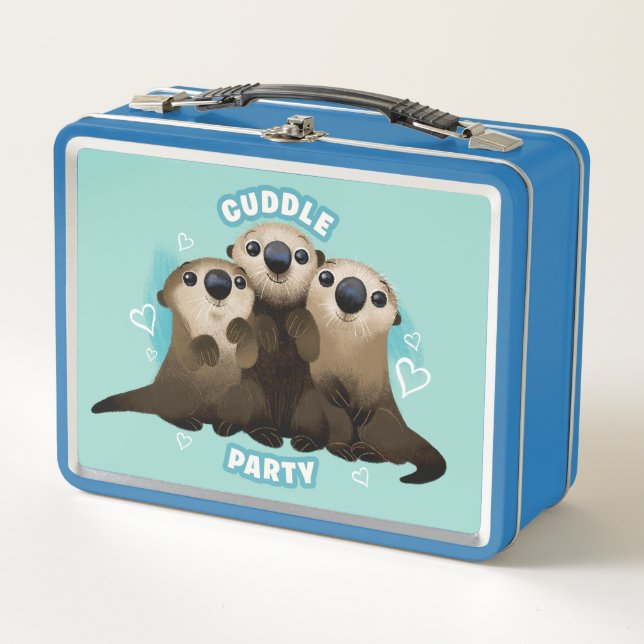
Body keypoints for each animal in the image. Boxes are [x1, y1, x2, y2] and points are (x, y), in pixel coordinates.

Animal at [92, 258, 267, 439]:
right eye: (189, 277)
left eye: (240, 281)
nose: (219, 281)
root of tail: (155, 388)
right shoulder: (180, 340)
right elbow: (188, 358)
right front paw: (208, 347)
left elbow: (249, 358)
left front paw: (239, 327)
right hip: (182, 391)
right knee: (167, 412)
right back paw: (189, 422)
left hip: (248, 394)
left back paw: (229, 426)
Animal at [227, 223, 325, 446]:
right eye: (252, 247)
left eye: (302, 255)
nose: (278, 256)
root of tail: (283, 425)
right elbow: (244, 347)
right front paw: (266, 331)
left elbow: (314, 350)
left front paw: (298, 321)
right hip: (253, 395)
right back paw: (265, 433)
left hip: (311, 402)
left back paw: (306, 441)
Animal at [286, 259, 446, 484]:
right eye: (325, 277)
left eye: (379, 297)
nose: (350, 293)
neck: (345, 352)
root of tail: (406, 430)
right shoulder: (318, 363)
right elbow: (315, 367)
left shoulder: (375, 369)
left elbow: (372, 386)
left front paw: (362, 409)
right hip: (308, 408)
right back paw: (315, 444)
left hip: (384, 422)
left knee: (397, 455)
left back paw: (366, 452)